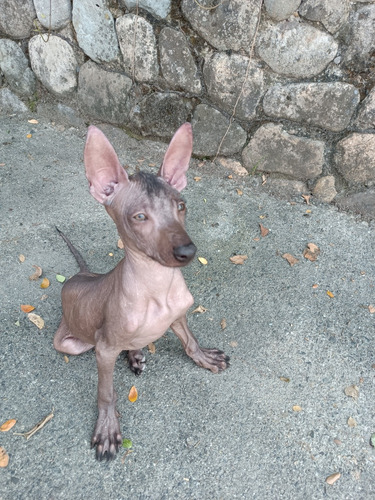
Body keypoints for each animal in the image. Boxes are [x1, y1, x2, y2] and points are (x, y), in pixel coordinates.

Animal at [53, 124, 229, 460]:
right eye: (139, 217)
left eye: (181, 206)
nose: (187, 251)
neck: (158, 286)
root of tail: (81, 274)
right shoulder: (104, 349)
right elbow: (106, 393)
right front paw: (107, 428)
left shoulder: (178, 315)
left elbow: (190, 342)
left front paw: (203, 357)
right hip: (71, 344)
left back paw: (135, 354)